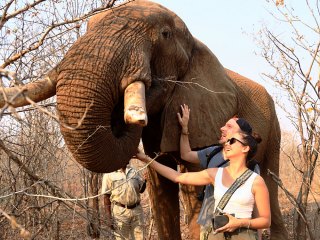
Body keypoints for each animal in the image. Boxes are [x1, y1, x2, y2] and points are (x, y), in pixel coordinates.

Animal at [0, 0, 288, 240]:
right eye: (89, 27)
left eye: (165, 34)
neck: (196, 43)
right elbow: (161, 186)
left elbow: (196, 189)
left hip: (274, 128)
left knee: (269, 185)